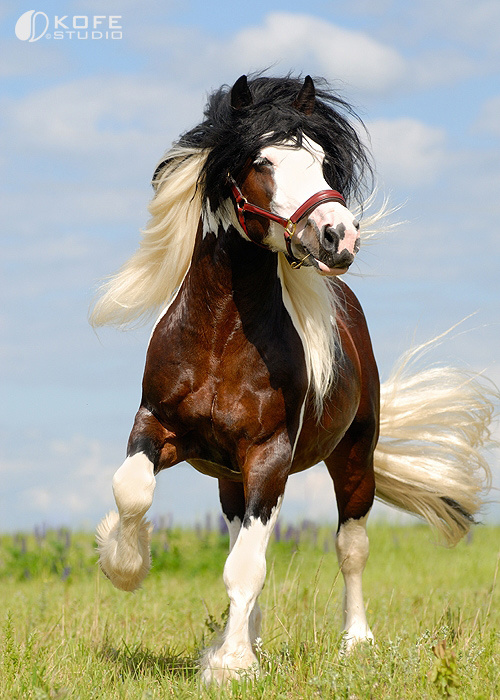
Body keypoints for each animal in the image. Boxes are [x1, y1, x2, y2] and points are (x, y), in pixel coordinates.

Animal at [91, 74, 494, 684]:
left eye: (325, 162)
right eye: (262, 161)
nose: (338, 236)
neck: (220, 335)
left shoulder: (270, 454)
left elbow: (248, 566)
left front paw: (232, 666)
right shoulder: (159, 427)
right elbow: (132, 490)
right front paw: (126, 564)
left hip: (352, 459)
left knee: (350, 546)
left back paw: (355, 642)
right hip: (230, 479)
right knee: (242, 538)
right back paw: (242, 636)